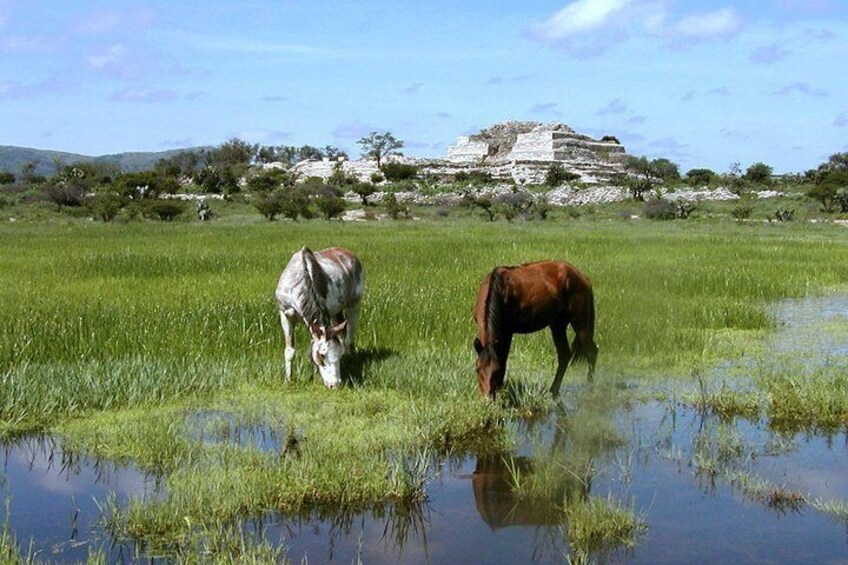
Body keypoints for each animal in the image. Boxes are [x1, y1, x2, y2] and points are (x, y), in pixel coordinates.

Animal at [274, 247, 362, 388]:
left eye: (338, 354)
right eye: (322, 355)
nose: (335, 384)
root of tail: (348, 253)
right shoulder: (285, 315)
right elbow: (290, 351)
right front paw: (288, 379)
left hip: (354, 304)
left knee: (348, 339)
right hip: (337, 312)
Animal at [474, 258, 600, 396]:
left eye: (496, 370)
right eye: (478, 369)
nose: (487, 397)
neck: (498, 289)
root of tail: (583, 277)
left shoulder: (507, 332)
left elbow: (504, 359)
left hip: (580, 322)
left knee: (591, 352)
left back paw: (590, 386)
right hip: (557, 324)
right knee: (564, 355)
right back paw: (554, 390)